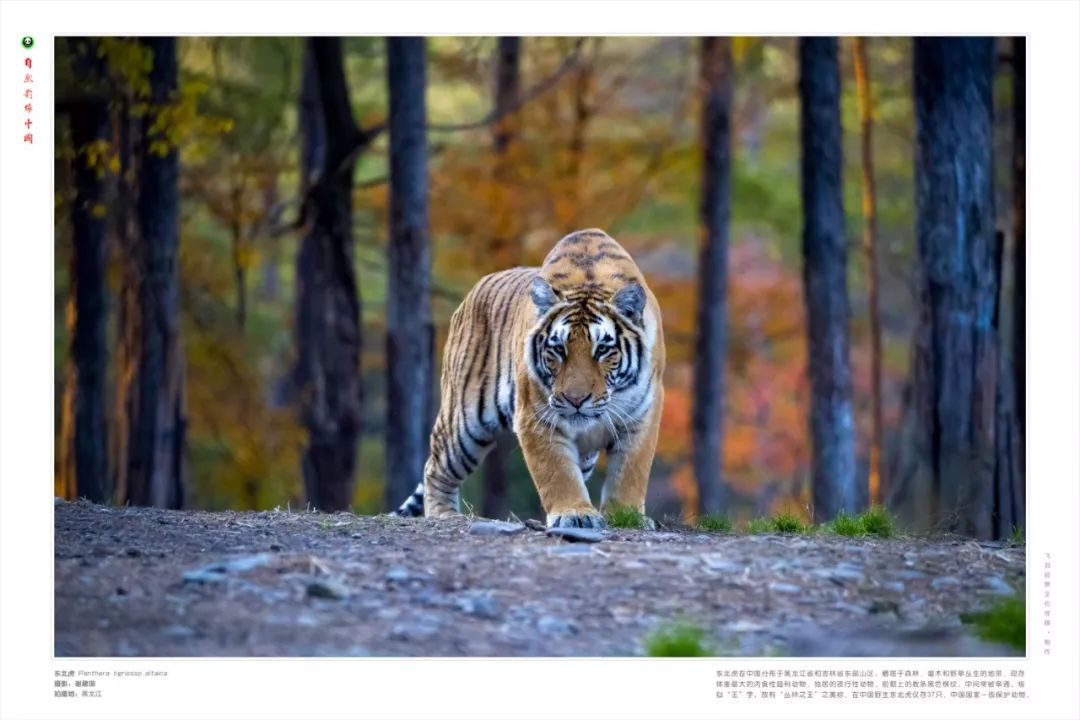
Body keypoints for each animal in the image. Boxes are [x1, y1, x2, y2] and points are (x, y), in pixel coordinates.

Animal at [395, 231, 665, 528]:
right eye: (558, 349)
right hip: (464, 423)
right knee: (435, 468)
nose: (576, 400)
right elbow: (557, 471)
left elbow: (630, 472)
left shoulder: (643, 415)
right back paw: (445, 514)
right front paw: (575, 513)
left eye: (603, 349)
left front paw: (626, 516)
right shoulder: (536, 415)